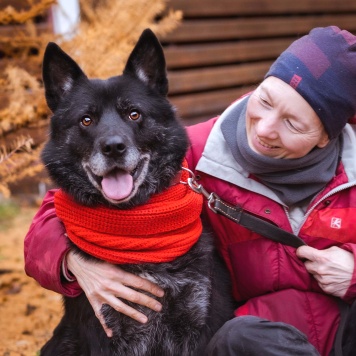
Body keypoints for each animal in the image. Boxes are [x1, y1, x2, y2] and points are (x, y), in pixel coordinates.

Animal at [40, 29, 234, 354]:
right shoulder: (105, 330)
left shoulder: (198, 322)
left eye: (133, 114)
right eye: (86, 120)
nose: (113, 147)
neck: (139, 226)